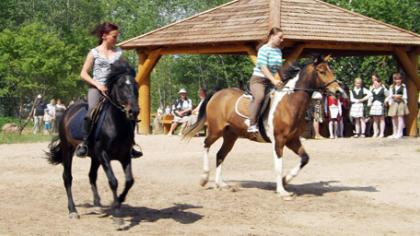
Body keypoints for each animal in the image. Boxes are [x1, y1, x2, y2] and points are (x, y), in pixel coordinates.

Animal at [47, 61, 139, 219]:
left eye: (136, 85)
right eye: (121, 86)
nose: (134, 111)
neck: (116, 124)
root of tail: (67, 111)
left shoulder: (125, 156)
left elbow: (129, 181)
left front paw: (119, 201)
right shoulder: (103, 154)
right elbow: (113, 181)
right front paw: (116, 209)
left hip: (94, 157)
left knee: (91, 176)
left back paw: (97, 204)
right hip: (68, 150)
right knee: (67, 177)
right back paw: (72, 210)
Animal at [183, 54, 344, 199]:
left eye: (330, 70)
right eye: (322, 71)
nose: (338, 91)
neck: (289, 103)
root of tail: (218, 94)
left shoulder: (292, 140)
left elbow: (305, 158)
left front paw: (286, 180)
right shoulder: (279, 140)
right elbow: (278, 166)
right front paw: (282, 191)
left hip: (231, 136)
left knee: (220, 155)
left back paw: (221, 184)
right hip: (216, 130)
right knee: (206, 145)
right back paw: (204, 178)